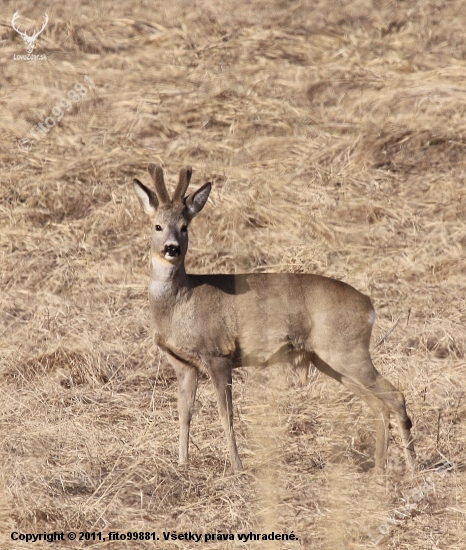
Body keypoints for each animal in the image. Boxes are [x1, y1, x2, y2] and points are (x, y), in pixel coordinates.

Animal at [134, 164, 416, 474]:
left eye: (185, 227)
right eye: (157, 226)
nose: (171, 248)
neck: (181, 302)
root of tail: (369, 306)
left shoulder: (218, 353)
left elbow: (226, 414)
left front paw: (237, 467)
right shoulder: (184, 364)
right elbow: (184, 413)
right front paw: (182, 463)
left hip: (347, 351)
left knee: (395, 396)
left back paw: (412, 468)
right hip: (329, 360)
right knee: (378, 404)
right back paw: (379, 467)